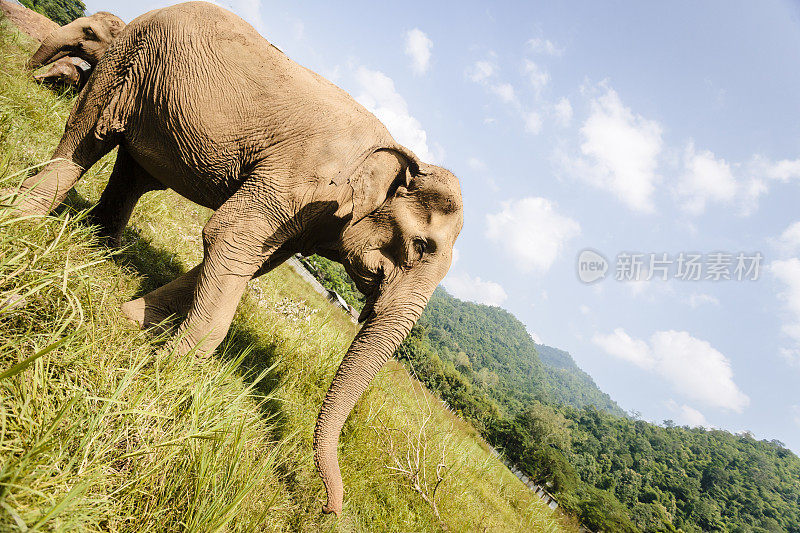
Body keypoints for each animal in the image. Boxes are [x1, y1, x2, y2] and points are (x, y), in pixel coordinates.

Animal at [6, 1, 466, 516]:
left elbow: (252, 263)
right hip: (128, 65)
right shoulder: (296, 181)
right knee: (84, 138)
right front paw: (162, 367)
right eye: (421, 245)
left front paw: (132, 319)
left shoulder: (307, 216)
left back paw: (96, 245)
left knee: (133, 169)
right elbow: (228, 239)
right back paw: (23, 216)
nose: (329, 509)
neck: (400, 151)